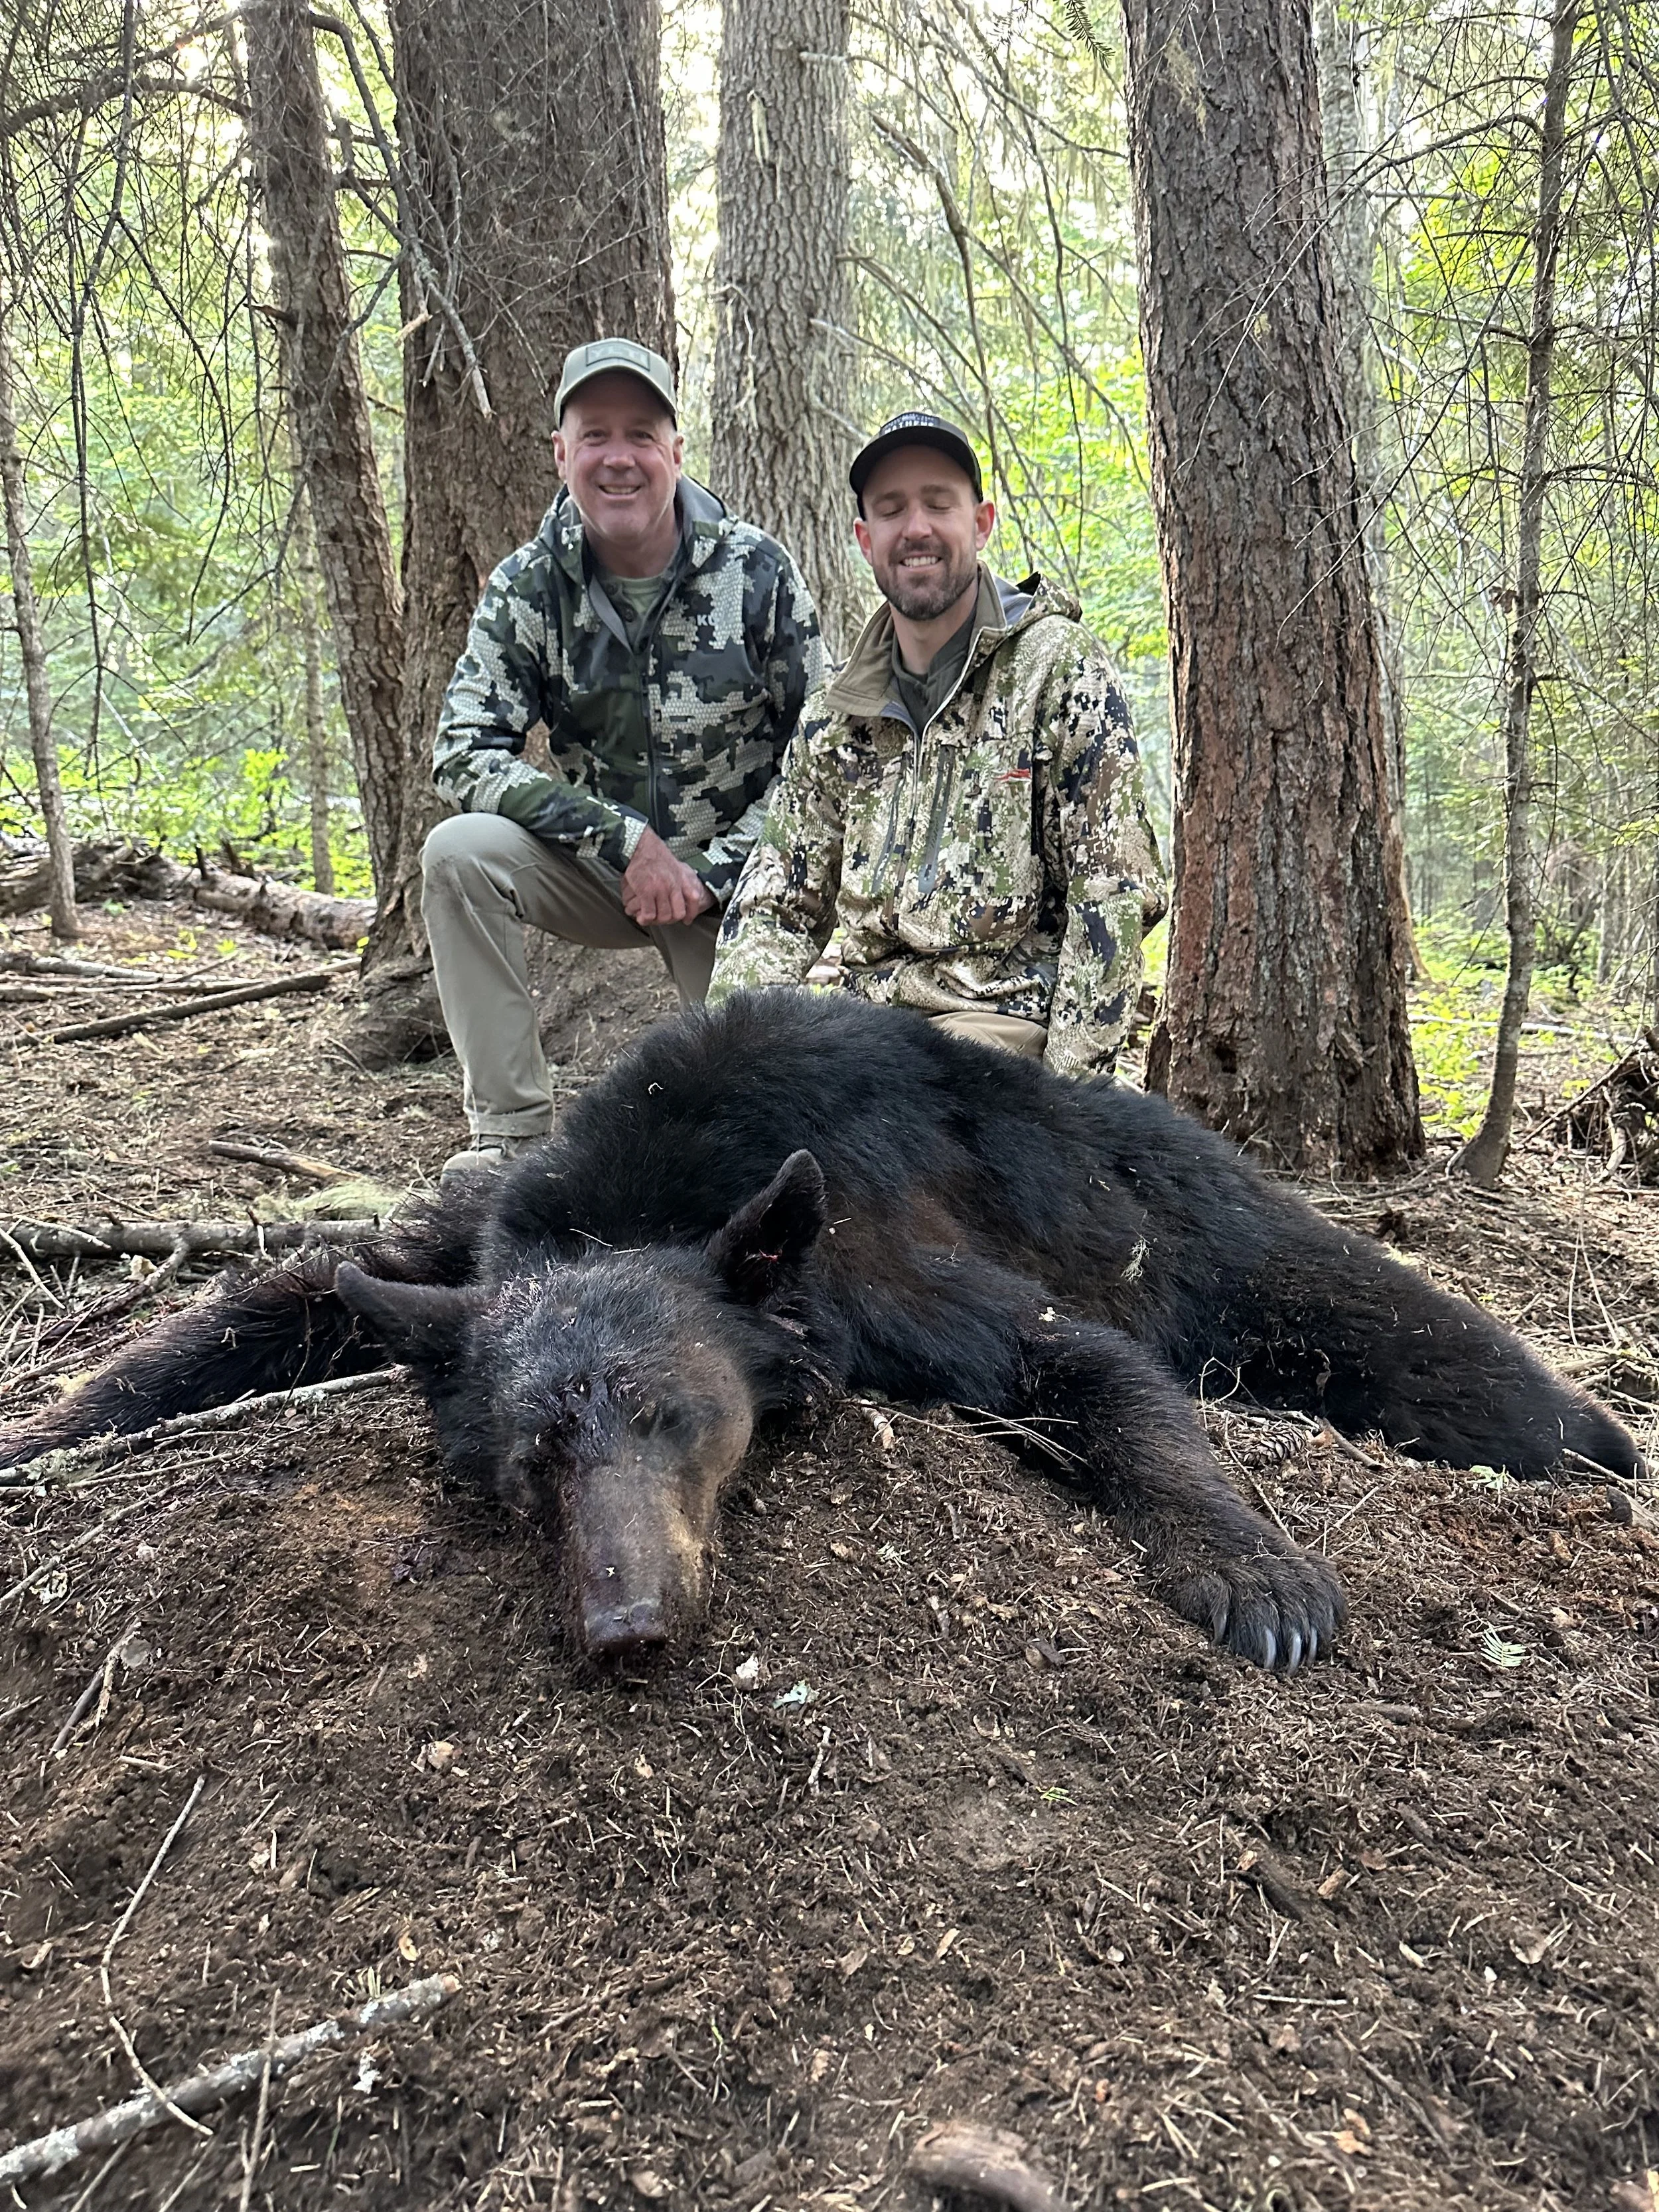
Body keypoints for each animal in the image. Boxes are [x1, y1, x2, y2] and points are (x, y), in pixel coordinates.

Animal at [1, 990, 1640, 1668]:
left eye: (677, 1416)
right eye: (530, 1461)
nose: (628, 1621)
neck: (659, 1178)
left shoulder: (880, 1263)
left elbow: (1087, 1370)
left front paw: (1259, 1577)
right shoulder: (476, 1251)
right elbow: (295, 1293)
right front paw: (59, 1418)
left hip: (1217, 1235)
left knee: (1423, 1344)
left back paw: (1603, 1436)